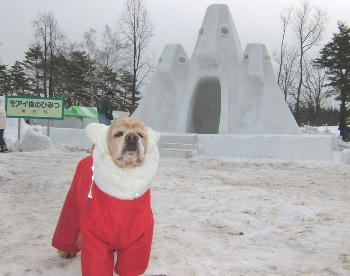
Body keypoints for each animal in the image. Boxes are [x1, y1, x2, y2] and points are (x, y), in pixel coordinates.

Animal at [52, 117, 160, 276]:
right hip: (71, 205)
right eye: (118, 134)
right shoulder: (95, 235)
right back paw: (66, 251)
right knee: (68, 228)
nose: (132, 137)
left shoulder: (139, 240)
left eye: (140, 135)